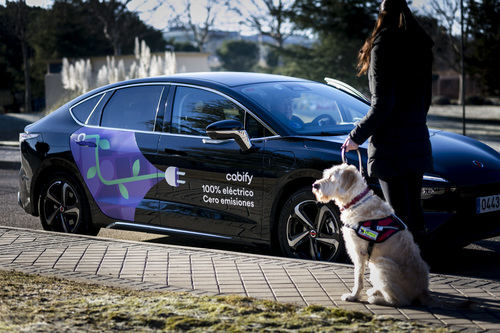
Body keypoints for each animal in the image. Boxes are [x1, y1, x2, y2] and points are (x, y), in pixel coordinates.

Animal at [312, 163, 430, 306]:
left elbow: (358, 277)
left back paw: (377, 299)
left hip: (382, 264)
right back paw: (375, 291)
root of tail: (421, 291)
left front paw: (353, 296)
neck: (355, 200)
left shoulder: (359, 251)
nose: (315, 185)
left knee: (400, 300)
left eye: (331, 177)